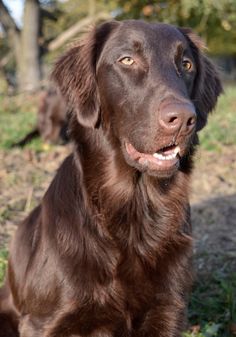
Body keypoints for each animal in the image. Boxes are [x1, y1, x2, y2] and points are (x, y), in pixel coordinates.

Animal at [0, 19, 222, 334]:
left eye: (187, 64)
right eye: (127, 60)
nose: (183, 119)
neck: (135, 208)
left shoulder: (168, 311)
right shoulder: (43, 322)